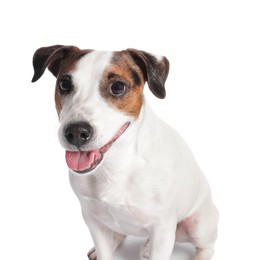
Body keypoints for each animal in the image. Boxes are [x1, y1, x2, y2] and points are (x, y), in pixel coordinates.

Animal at [31, 45, 218, 258]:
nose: (76, 132)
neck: (116, 165)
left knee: (207, 247)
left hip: (198, 225)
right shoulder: (93, 220)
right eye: (64, 84)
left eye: (118, 87)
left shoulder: (162, 230)